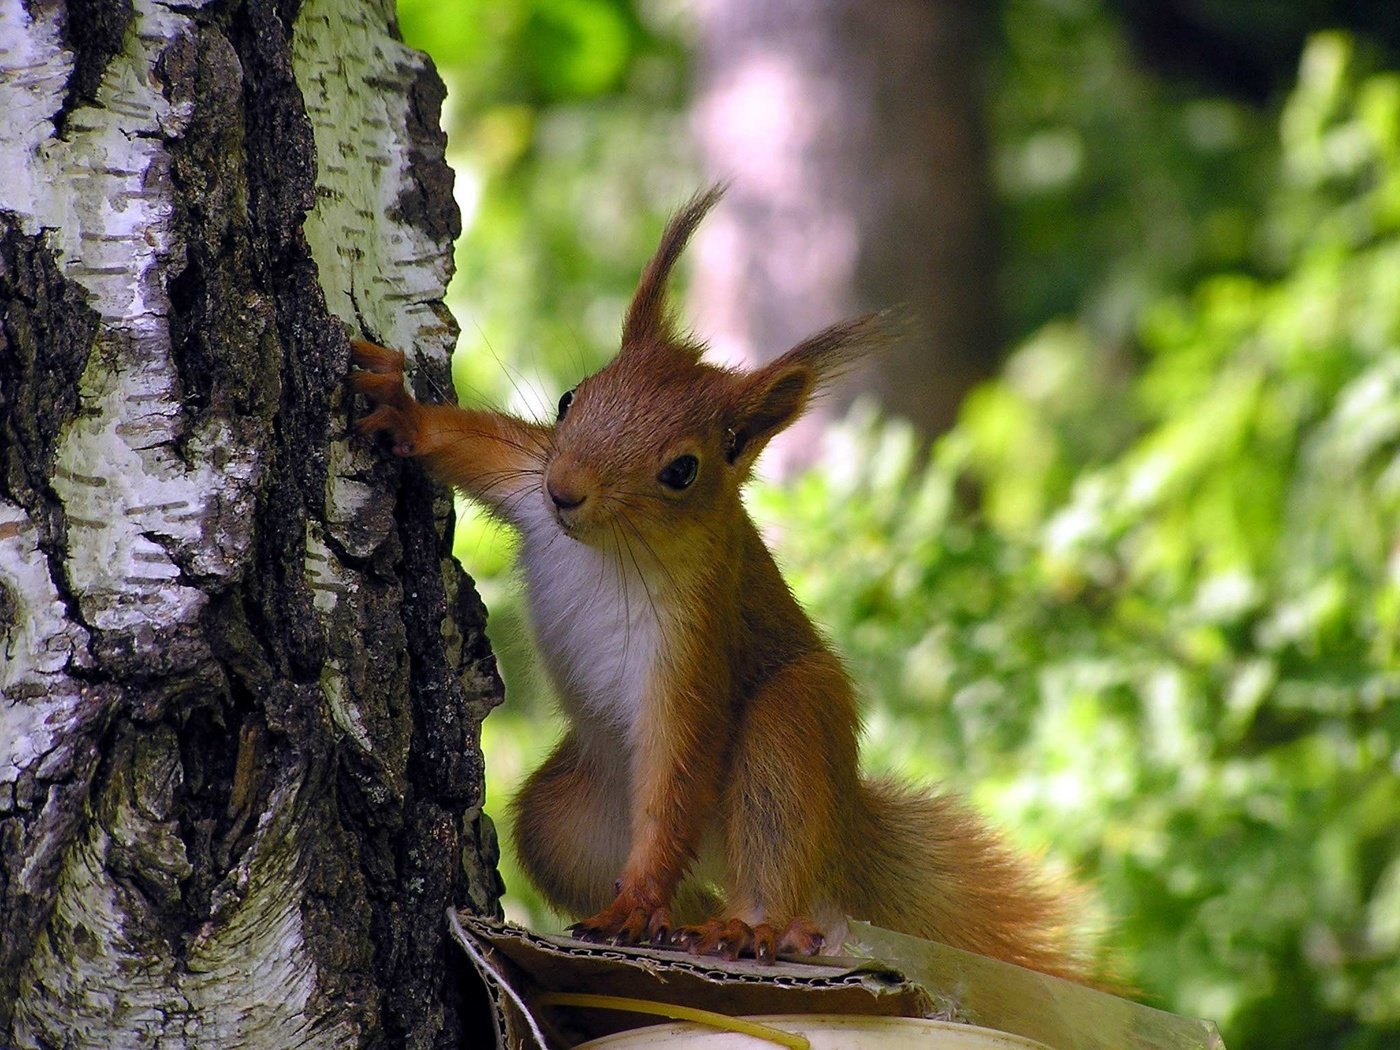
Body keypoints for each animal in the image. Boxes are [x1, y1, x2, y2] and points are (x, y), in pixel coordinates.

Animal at [352, 187, 1092, 980]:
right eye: (569, 399)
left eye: (682, 470)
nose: (565, 492)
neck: (607, 549)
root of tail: (843, 831)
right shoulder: (526, 479)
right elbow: (474, 445)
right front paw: (401, 410)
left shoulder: (696, 635)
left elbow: (678, 767)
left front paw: (636, 901)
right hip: (565, 820)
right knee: (668, 880)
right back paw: (680, 925)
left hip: (790, 731)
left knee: (768, 848)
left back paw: (753, 927)